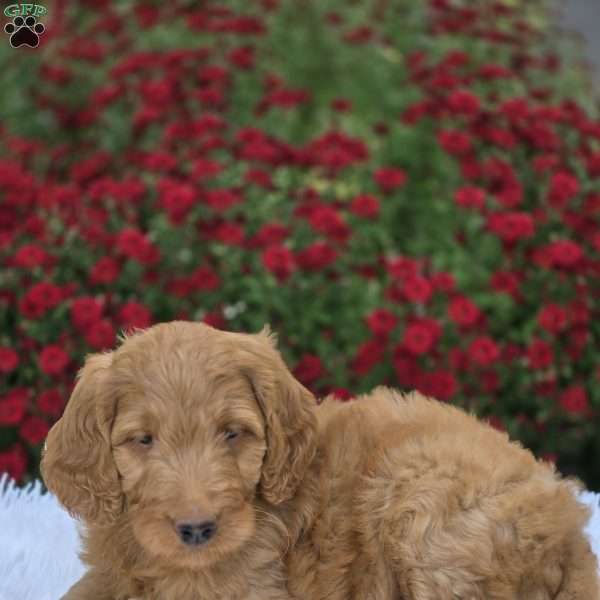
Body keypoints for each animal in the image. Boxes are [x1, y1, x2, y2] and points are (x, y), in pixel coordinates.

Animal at [41, 324, 596, 600]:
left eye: (232, 434)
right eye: (143, 440)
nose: (197, 531)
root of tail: (571, 527)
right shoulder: (110, 574)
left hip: (423, 502)